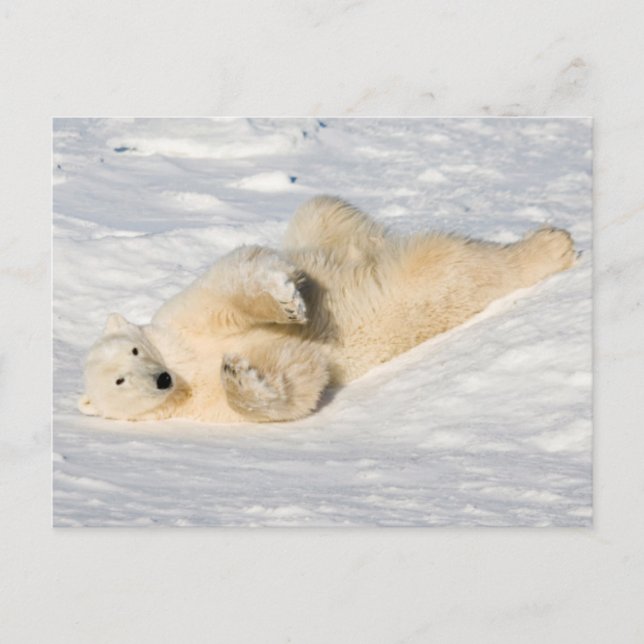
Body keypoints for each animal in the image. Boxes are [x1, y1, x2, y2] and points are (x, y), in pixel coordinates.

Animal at [78, 195, 576, 423]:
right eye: (120, 381)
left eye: (135, 350)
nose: (161, 380)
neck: (184, 371)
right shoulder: (205, 406)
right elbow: (297, 376)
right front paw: (240, 374)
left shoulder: (180, 321)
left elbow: (229, 288)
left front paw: (287, 300)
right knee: (447, 268)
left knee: (324, 213)